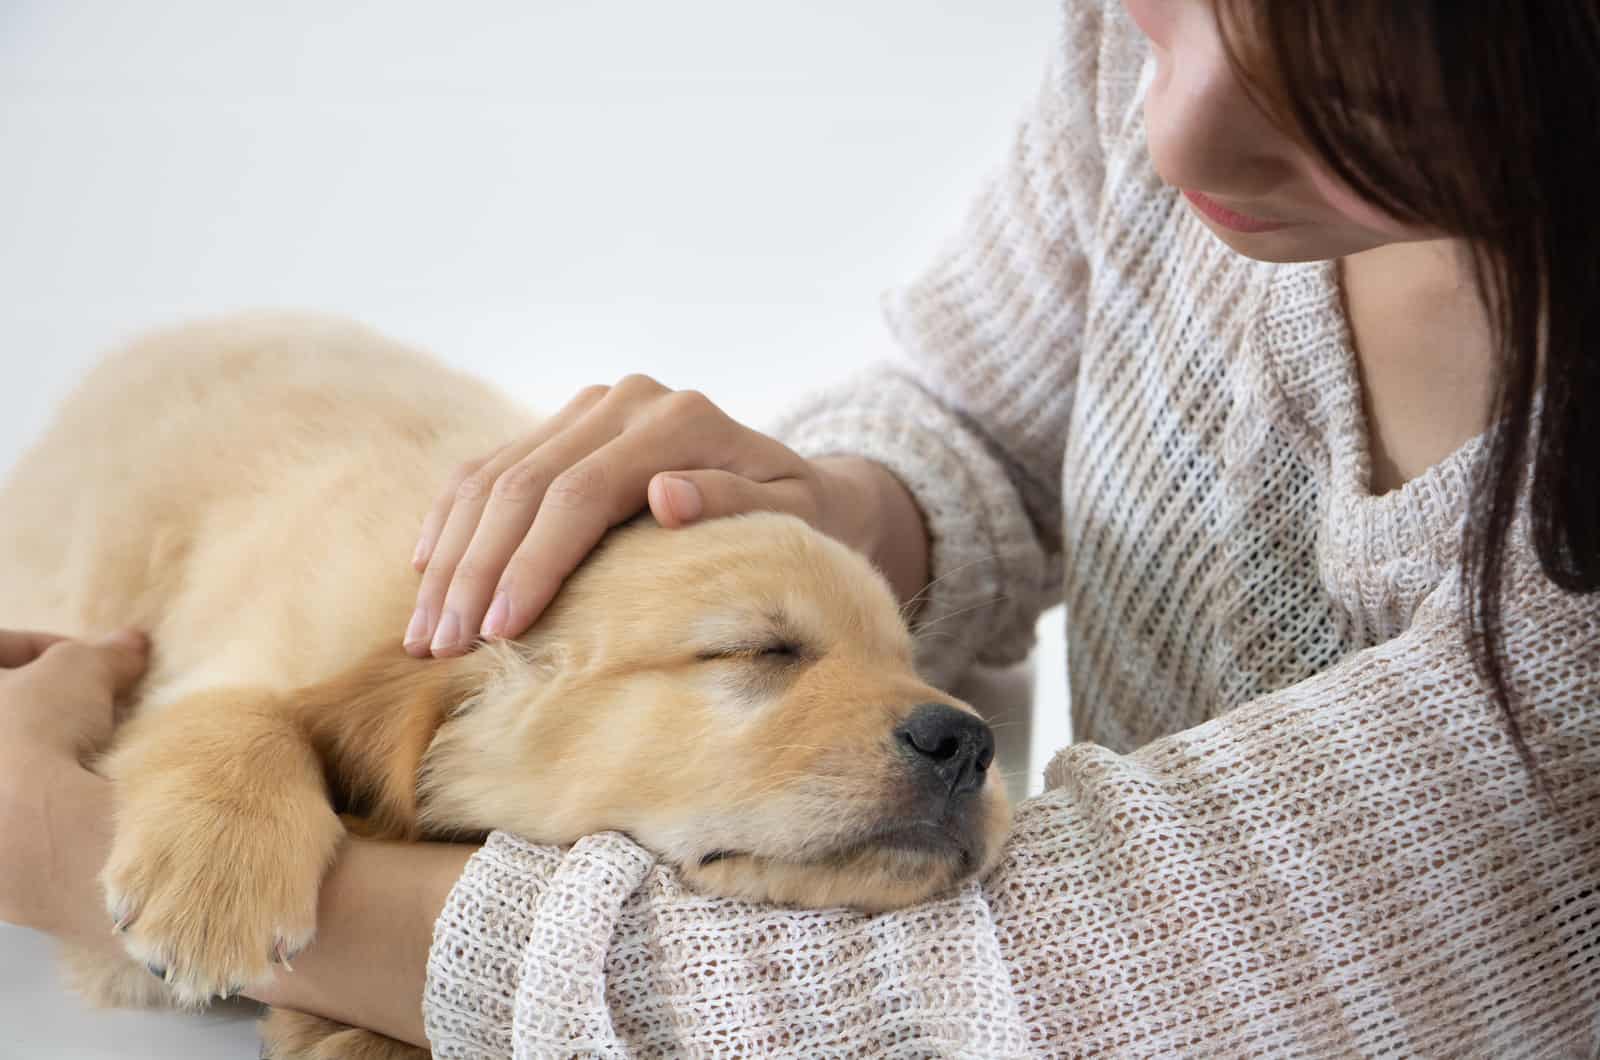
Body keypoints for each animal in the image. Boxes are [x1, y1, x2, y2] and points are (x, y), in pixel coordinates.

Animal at [0, 312, 1011, 1056]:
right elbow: (233, 705)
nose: (968, 743)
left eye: (905, 663)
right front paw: (215, 885)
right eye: (760, 650)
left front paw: (341, 1026)